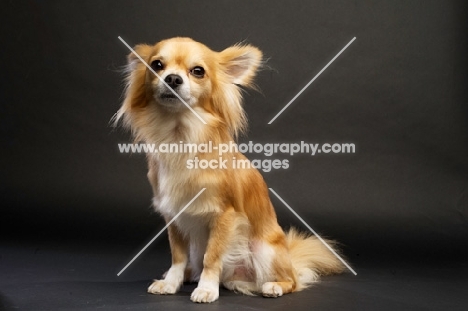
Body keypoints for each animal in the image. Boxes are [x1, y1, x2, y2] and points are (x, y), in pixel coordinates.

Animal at [115, 37, 346, 304]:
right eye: (156, 65)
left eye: (198, 71)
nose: (172, 78)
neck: (180, 137)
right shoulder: (173, 215)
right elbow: (177, 256)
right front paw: (171, 283)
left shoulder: (224, 216)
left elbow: (212, 256)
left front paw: (206, 289)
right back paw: (190, 276)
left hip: (264, 250)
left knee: (293, 282)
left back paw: (274, 286)